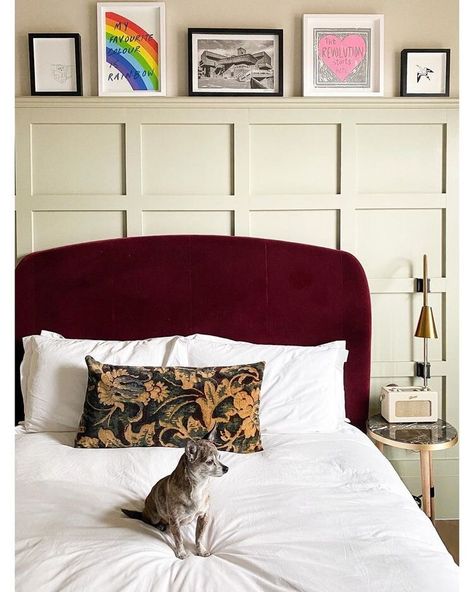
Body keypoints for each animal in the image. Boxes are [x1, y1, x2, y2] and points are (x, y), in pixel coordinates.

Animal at [121, 430, 227, 560]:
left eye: (220, 458)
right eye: (210, 462)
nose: (226, 468)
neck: (198, 487)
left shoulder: (203, 517)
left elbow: (199, 537)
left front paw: (201, 550)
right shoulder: (175, 521)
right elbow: (179, 539)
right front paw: (181, 552)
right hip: (154, 517)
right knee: (147, 520)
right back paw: (159, 525)